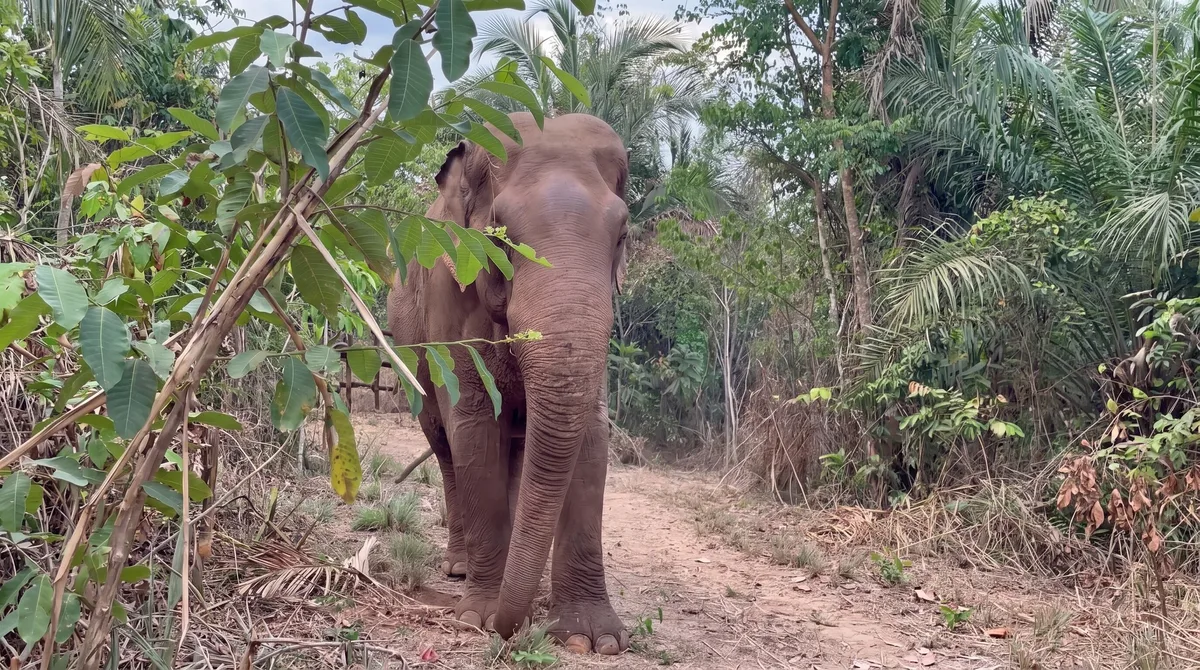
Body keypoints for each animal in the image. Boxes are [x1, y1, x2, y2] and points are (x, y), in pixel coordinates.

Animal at [385, 112, 630, 654]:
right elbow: (473, 424)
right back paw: (460, 568)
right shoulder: (450, 294)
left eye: (623, 235)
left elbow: (592, 434)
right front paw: (478, 616)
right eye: (499, 239)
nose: (510, 630)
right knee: (444, 446)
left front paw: (592, 639)